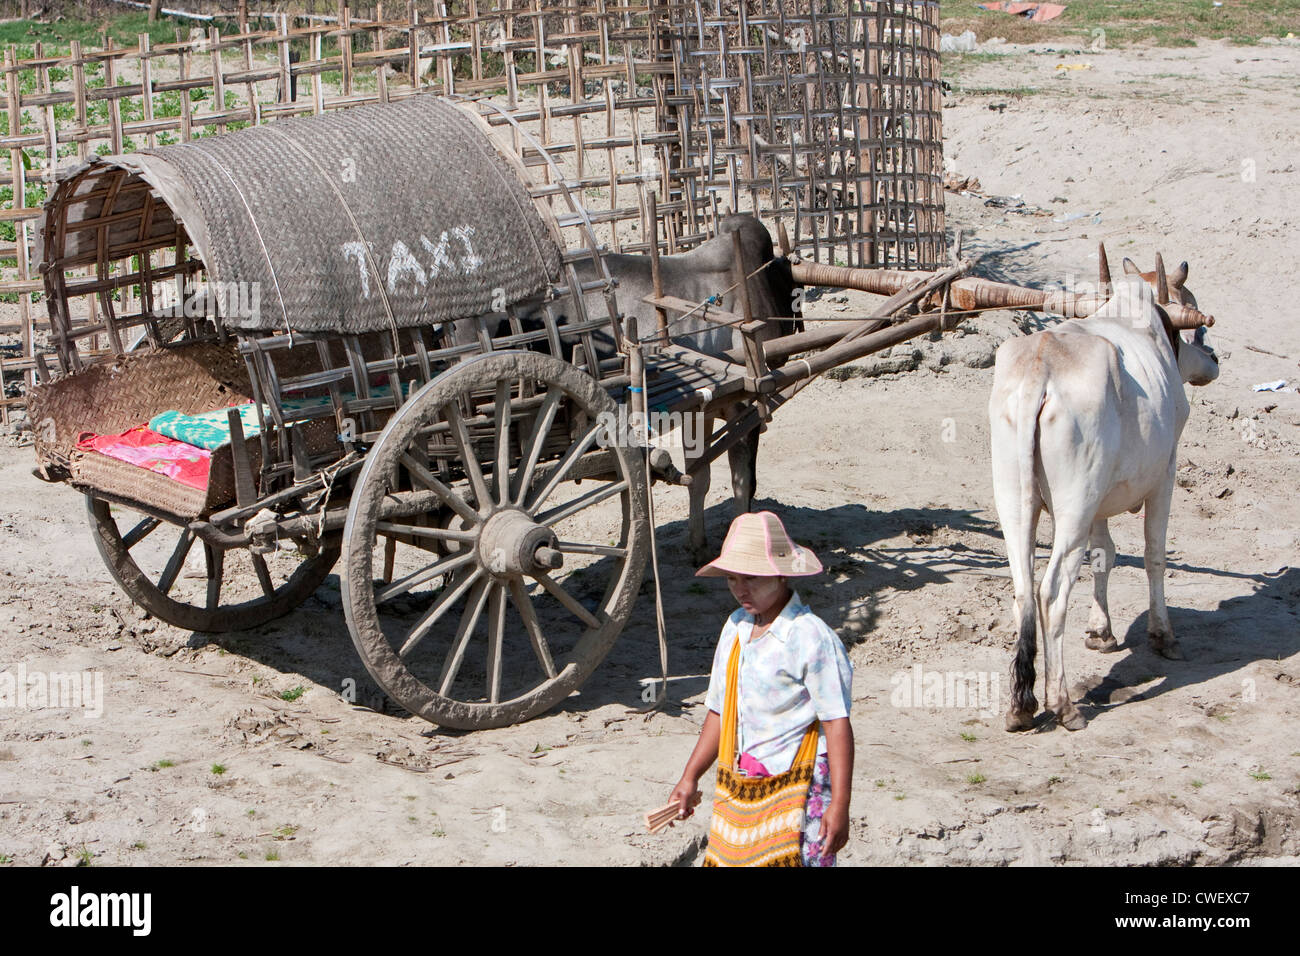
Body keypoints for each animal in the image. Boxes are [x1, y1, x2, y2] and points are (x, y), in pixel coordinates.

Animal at [993, 277, 1216, 733]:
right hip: (1075, 505)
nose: (1213, 358)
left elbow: (1104, 556)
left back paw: (1021, 706)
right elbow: (1153, 555)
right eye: (1185, 330)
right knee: (1051, 593)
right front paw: (1163, 636)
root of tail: (1040, 366)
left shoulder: (1098, 502)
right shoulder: (1166, 473)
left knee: (1024, 590)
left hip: (1017, 498)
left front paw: (1101, 632)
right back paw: (1063, 705)